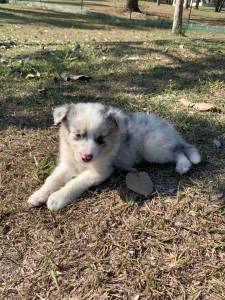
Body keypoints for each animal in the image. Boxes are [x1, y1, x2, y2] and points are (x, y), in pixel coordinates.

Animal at [28, 103, 200, 211]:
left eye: (100, 139)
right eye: (78, 135)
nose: (87, 157)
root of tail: (170, 129)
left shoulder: (100, 171)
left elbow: (74, 183)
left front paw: (57, 198)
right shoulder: (67, 165)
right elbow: (51, 180)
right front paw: (38, 195)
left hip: (153, 149)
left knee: (178, 150)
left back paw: (183, 165)